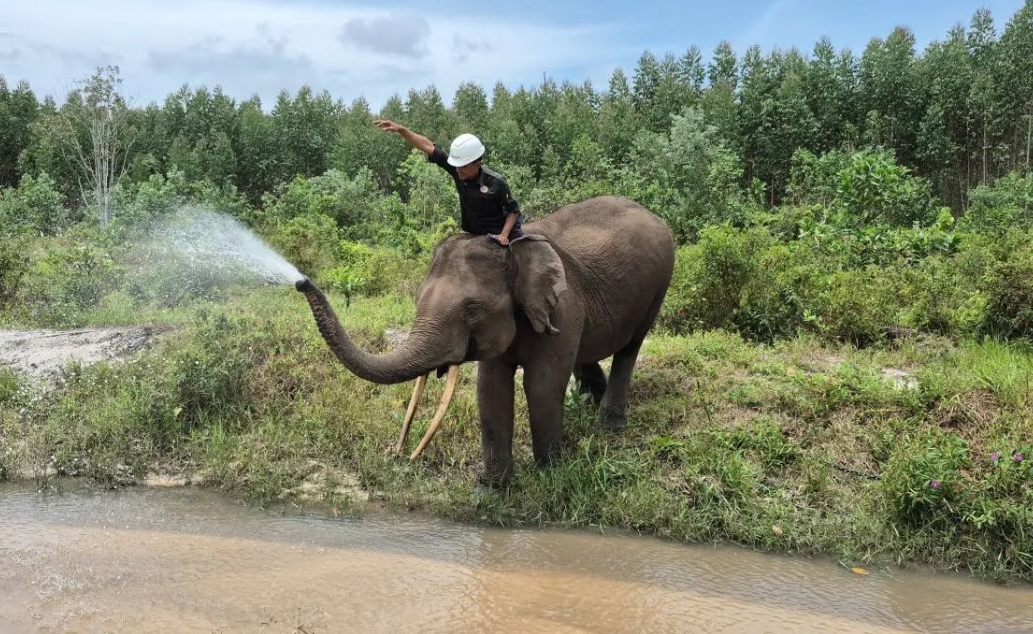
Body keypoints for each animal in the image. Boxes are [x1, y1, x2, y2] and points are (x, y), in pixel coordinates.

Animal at [295, 195, 676, 487]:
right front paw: (493, 488)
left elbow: (541, 384)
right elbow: (490, 387)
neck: (515, 253)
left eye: (472, 310)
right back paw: (589, 406)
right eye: (417, 299)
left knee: (630, 347)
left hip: (660, 284)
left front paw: (551, 473)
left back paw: (607, 426)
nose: (301, 281)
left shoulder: (563, 308)